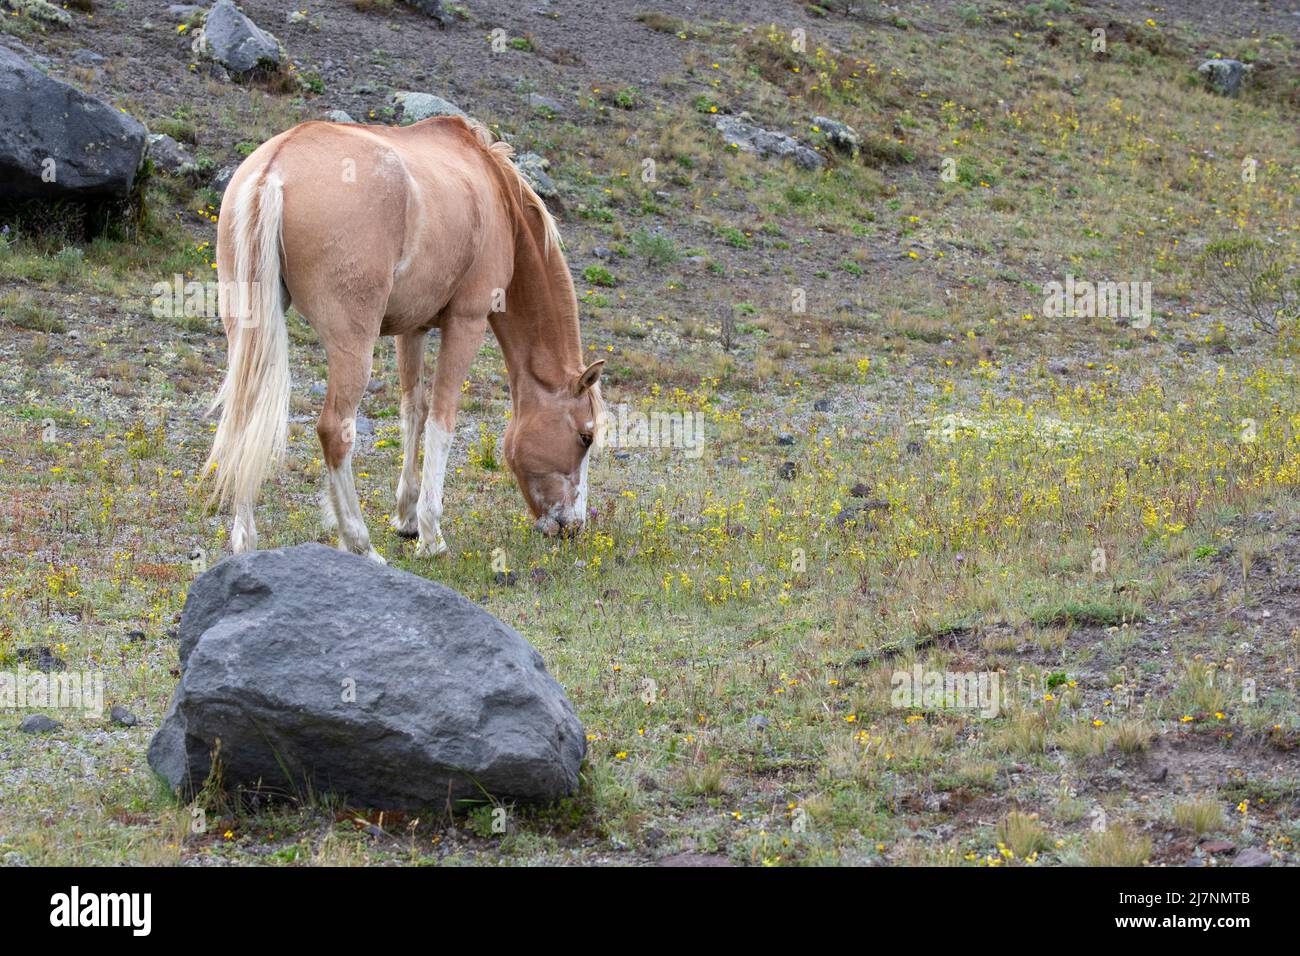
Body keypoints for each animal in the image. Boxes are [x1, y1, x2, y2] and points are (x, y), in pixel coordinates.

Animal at [206, 115, 603, 561]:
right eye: (585, 436)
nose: (573, 525)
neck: (494, 193)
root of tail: (274, 168)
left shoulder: (411, 329)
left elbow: (413, 410)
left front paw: (408, 519)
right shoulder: (466, 322)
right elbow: (441, 420)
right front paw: (431, 536)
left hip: (247, 335)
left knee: (244, 420)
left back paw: (245, 543)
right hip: (353, 345)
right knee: (334, 431)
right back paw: (361, 546)